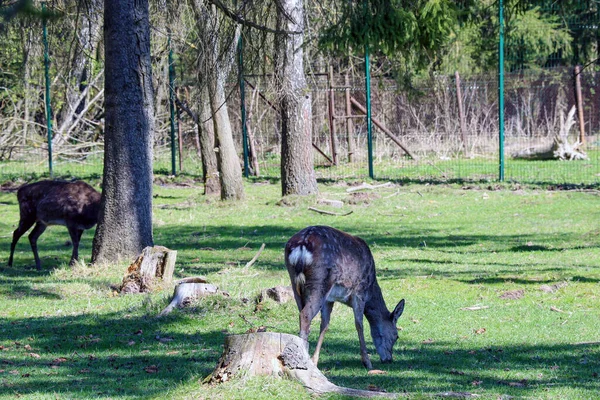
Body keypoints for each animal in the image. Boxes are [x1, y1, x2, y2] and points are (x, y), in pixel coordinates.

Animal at [284, 225, 406, 368]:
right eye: (396, 336)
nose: (389, 359)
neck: (371, 290)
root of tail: (302, 245)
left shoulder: (329, 299)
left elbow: (325, 325)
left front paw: (315, 360)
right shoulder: (359, 291)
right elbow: (359, 324)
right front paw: (367, 362)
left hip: (295, 283)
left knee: (301, 312)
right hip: (320, 281)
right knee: (305, 315)